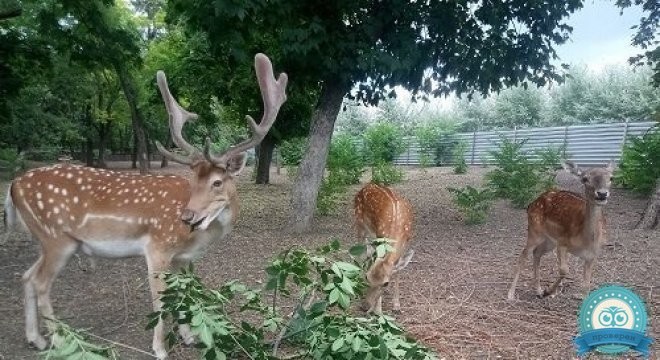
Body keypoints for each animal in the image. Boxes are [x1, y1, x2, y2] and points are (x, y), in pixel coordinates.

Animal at [3, 54, 286, 360]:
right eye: (194, 180)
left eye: (217, 182)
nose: (187, 216)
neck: (196, 239)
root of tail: (14, 186)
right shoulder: (158, 248)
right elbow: (160, 301)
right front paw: (160, 349)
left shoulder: (182, 259)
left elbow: (182, 296)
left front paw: (189, 337)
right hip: (56, 238)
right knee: (41, 283)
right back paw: (59, 341)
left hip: (47, 239)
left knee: (27, 276)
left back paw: (36, 339)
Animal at [354, 184, 416, 314]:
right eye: (367, 277)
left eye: (386, 283)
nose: (364, 306)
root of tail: (367, 185)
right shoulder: (380, 238)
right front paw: (378, 311)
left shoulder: (405, 243)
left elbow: (398, 271)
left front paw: (396, 305)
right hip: (359, 222)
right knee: (360, 254)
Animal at [510, 161, 612, 300]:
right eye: (585, 179)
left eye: (611, 178)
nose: (602, 194)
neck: (587, 240)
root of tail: (532, 203)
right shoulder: (563, 242)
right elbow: (564, 270)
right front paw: (549, 291)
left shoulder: (593, 255)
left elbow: (586, 285)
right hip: (534, 230)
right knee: (523, 255)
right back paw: (511, 294)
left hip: (549, 240)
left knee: (537, 253)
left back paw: (538, 290)